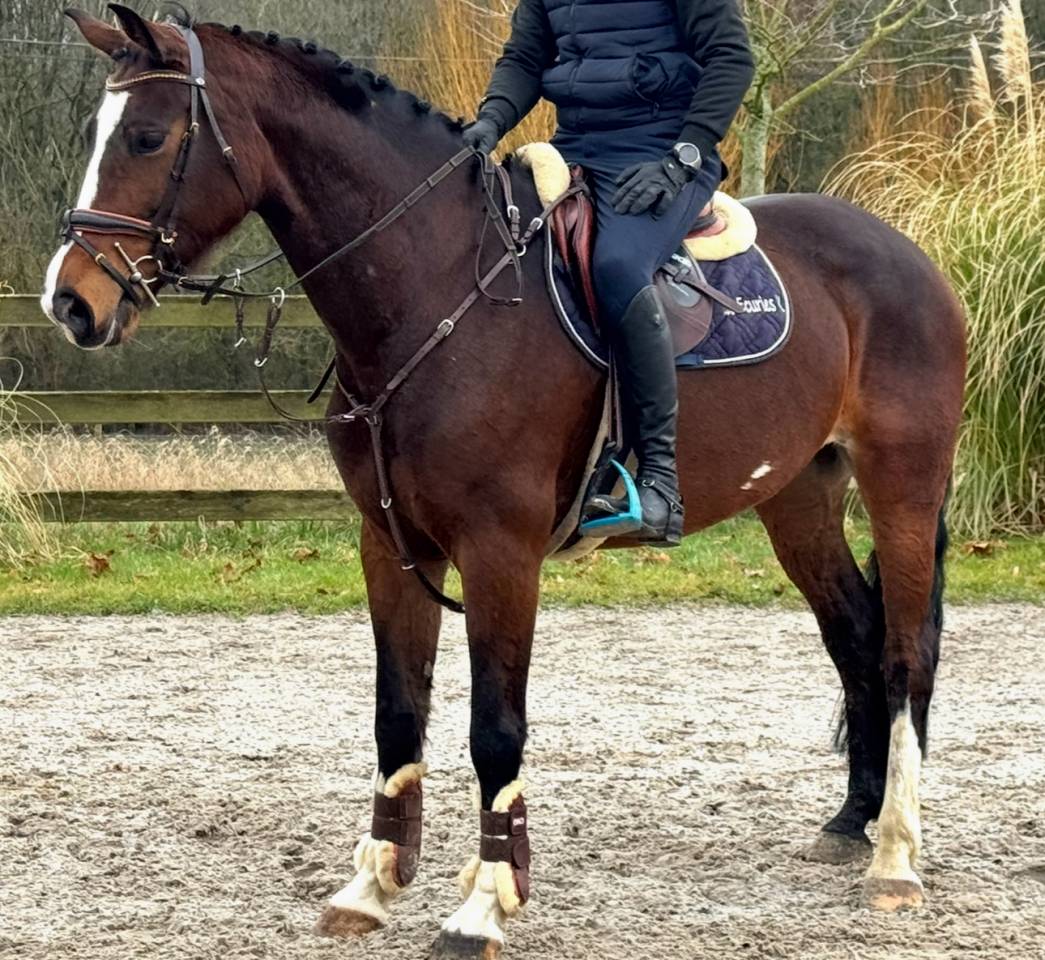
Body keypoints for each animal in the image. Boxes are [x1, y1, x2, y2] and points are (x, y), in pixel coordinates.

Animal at [43, 6, 966, 956]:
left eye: (148, 137)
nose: (70, 302)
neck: (439, 289)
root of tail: (904, 252)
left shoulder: (499, 553)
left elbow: (495, 730)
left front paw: (484, 901)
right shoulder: (390, 544)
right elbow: (397, 713)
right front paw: (372, 884)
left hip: (901, 484)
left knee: (904, 653)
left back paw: (894, 857)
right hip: (797, 497)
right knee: (854, 636)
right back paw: (850, 821)